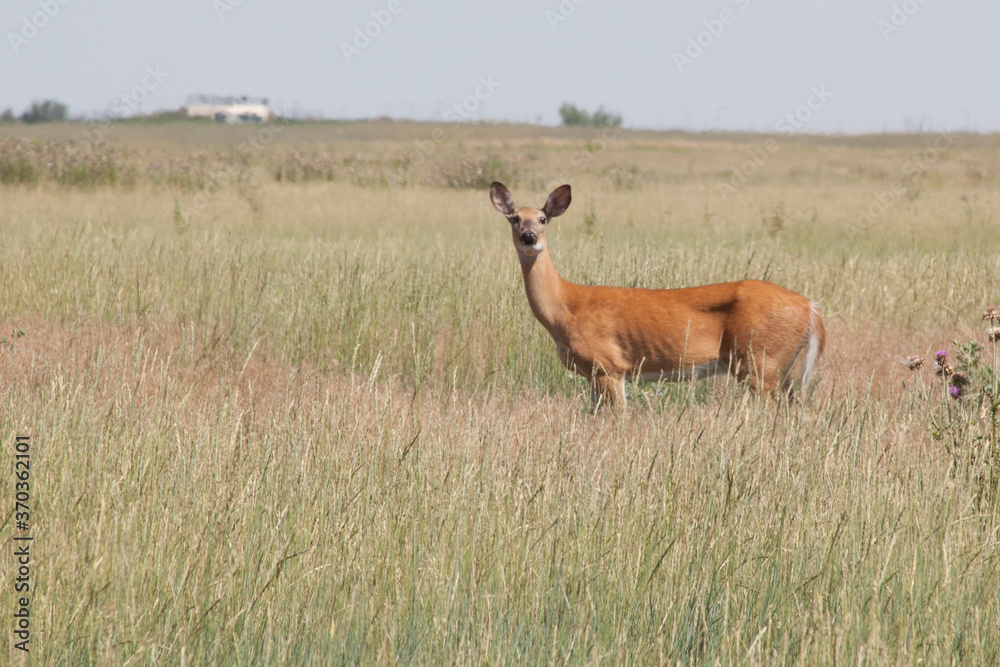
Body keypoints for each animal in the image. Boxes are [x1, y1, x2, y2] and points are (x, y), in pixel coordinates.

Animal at [489, 181, 825, 409]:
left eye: (543, 219)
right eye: (515, 218)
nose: (529, 237)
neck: (566, 309)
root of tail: (811, 308)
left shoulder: (609, 365)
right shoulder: (593, 374)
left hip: (761, 359)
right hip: (779, 365)